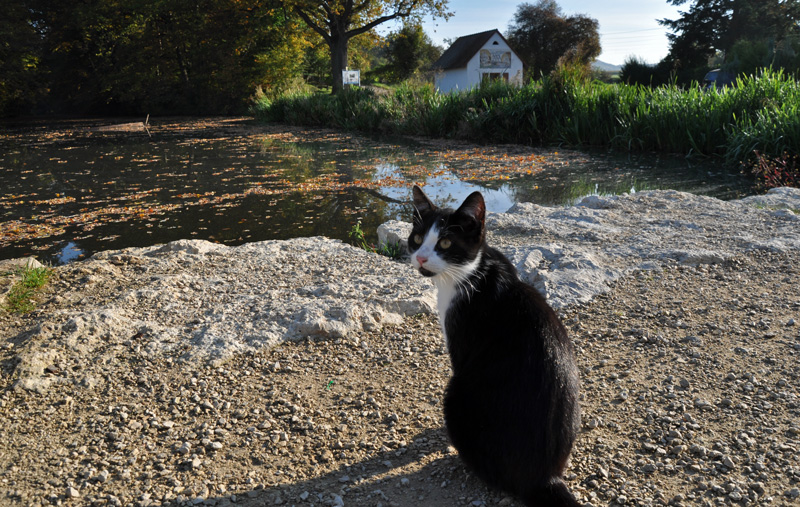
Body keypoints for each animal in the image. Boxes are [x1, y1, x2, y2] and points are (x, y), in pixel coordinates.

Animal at [410, 186, 580, 507]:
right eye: (416, 238)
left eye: (445, 242)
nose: (421, 259)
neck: (473, 271)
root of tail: (545, 478)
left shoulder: (461, 341)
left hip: (456, 394)